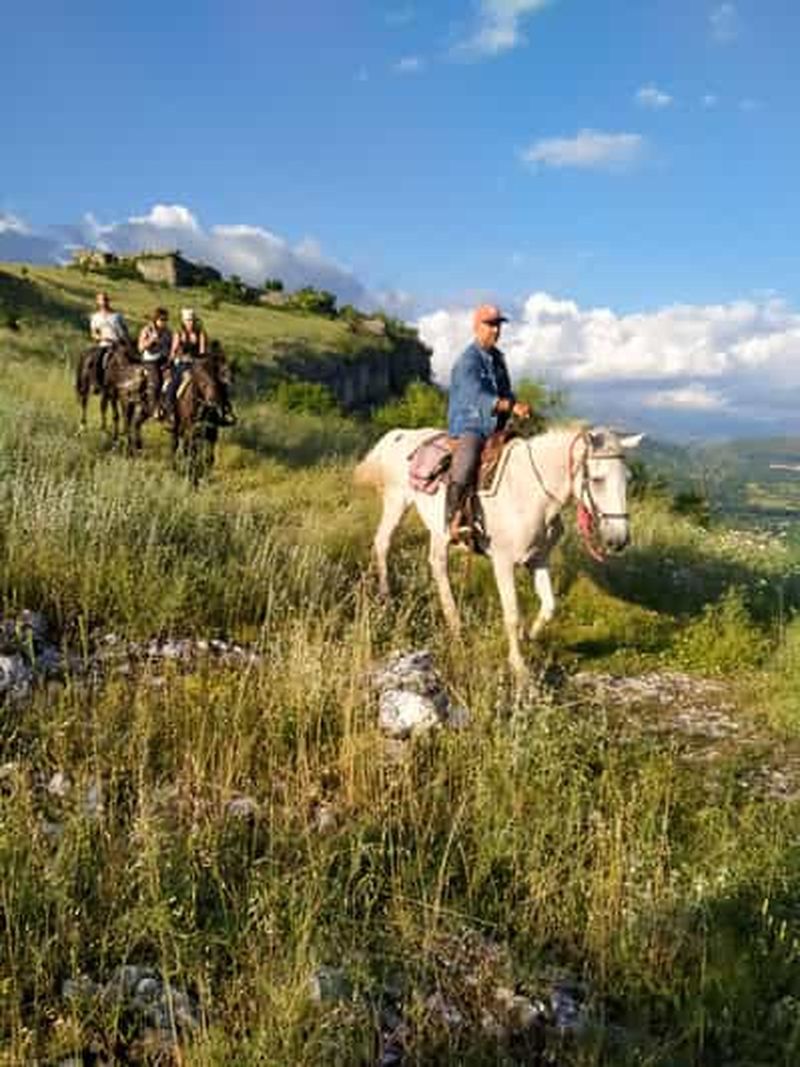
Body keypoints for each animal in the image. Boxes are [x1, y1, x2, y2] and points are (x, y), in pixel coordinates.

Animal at [354, 425, 643, 676]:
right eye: (597, 479)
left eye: (628, 480)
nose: (618, 540)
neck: (530, 492)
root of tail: (401, 434)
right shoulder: (503, 563)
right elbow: (512, 614)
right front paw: (519, 667)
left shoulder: (538, 559)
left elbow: (549, 606)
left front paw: (529, 637)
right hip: (397, 502)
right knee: (385, 543)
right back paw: (390, 598)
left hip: (437, 528)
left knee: (436, 564)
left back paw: (451, 619)